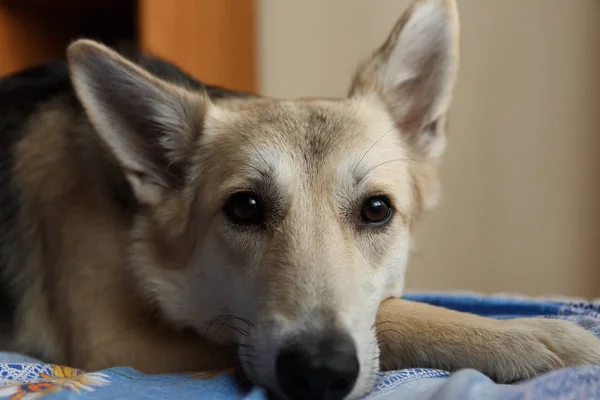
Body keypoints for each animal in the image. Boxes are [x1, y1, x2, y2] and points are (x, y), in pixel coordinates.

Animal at [1, 0, 600, 400]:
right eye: (244, 208)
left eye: (376, 210)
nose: (319, 373)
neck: (134, 226)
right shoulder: (116, 344)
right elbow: (397, 316)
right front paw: (531, 336)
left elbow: (390, 310)